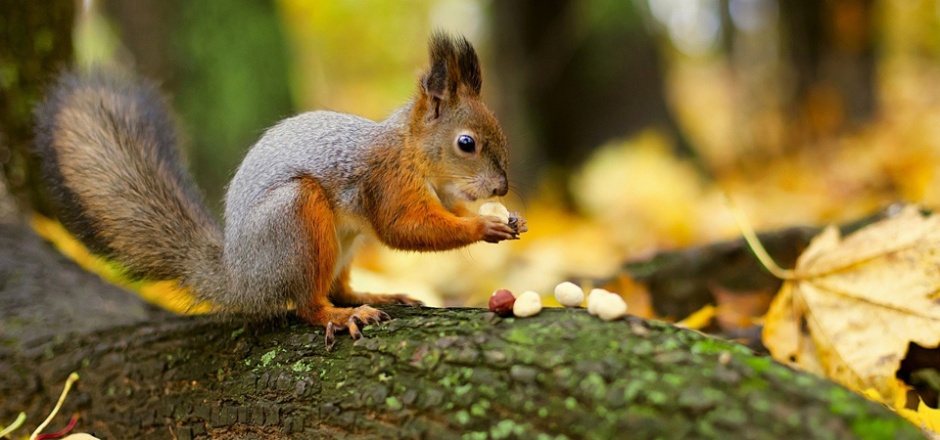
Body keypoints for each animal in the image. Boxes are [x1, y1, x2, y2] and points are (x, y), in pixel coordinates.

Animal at [33, 31, 524, 348]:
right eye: (466, 143)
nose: (501, 187)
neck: (416, 154)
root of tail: (240, 279)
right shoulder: (388, 181)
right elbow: (404, 229)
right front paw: (484, 227)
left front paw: (506, 218)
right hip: (297, 221)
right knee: (307, 303)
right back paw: (341, 315)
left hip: (342, 243)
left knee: (338, 286)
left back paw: (372, 296)